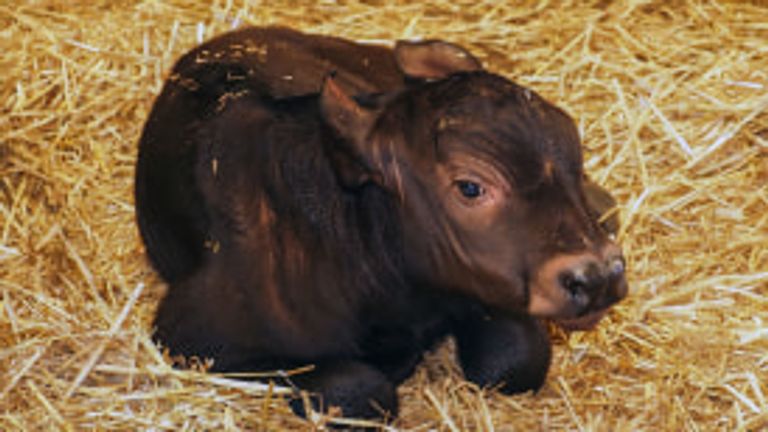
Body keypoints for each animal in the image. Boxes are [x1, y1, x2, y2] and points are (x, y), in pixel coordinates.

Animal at [135, 27, 628, 426]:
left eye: (574, 146)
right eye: (470, 187)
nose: (598, 276)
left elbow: (518, 357)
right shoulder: (190, 337)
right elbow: (359, 389)